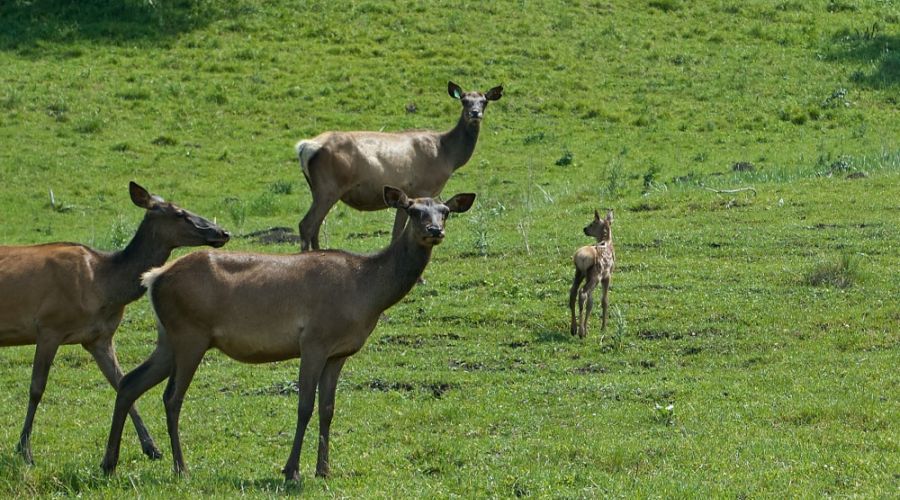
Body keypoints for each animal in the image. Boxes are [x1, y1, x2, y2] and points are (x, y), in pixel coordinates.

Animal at [0, 183, 230, 464]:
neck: (104, 288)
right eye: (179, 213)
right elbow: (36, 388)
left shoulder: (99, 338)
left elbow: (120, 381)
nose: (223, 232)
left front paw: (152, 447)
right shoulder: (48, 326)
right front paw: (24, 450)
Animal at [99, 186, 478, 478]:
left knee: (130, 382)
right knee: (171, 397)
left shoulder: (339, 352)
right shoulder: (314, 340)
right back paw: (181, 468)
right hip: (189, 334)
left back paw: (110, 463)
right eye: (413, 210)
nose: (434, 230)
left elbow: (328, 408)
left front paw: (324, 470)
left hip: (168, 339)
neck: (367, 293)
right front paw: (291, 469)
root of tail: (153, 278)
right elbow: (304, 405)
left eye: (445, 211)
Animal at [298, 81, 502, 250]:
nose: (475, 113)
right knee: (306, 225)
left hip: (318, 189)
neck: (448, 156)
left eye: (484, 101)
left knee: (316, 226)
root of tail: (304, 147)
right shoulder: (422, 188)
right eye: (464, 101)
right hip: (329, 187)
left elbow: (396, 232)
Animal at [568, 209, 620, 338]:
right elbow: (604, 300)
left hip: (580, 273)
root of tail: (581, 258)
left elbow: (591, 302)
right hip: (595, 275)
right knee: (582, 293)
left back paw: (574, 328)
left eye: (592, 223)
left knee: (573, 292)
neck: (607, 241)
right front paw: (603, 327)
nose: (585, 229)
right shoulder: (607, 275)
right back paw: (581, 332)